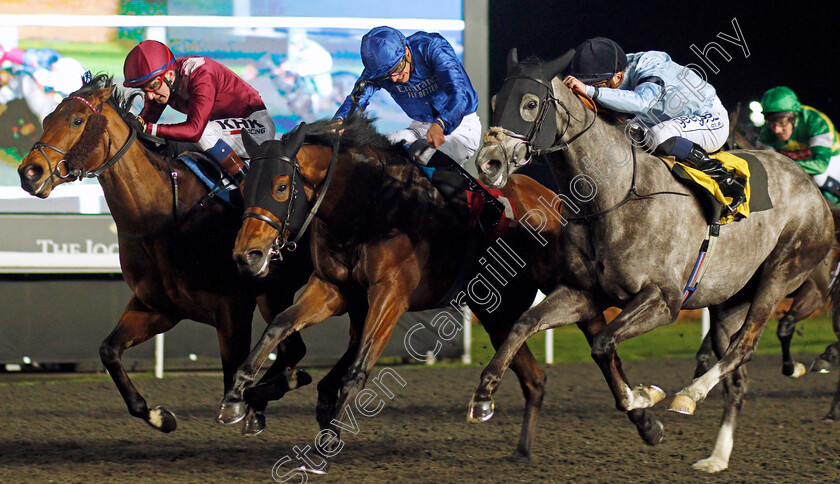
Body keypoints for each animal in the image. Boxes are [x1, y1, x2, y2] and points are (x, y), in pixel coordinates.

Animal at [15, 74, 312, 434]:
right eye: (46, 119)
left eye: (77, 120)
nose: (29, 173)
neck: (162, 218)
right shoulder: (158, 307)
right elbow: (108, 350)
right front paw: (159, 415)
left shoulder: (232, 310)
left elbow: (235, 379)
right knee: (292, 348)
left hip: (273, 291)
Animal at [217, 117, 572, 462]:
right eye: (245, 187)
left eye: (280, 186)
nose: (246, 255)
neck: (370, 204)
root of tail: (551, 199)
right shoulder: (333, 288)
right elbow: (279, 325)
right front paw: (237, 395)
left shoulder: (389, 294)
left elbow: (358, 368)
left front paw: (329, 439)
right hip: (496, 314)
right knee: (534, 378)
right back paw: (519, 446)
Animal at [466, 49, 832, 472]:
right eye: (495, 101)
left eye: (529, 103)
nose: (488, 162)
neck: (613, 196)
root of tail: (811, 187)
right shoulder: (580, 293)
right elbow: (525, 323)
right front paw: (484, 394)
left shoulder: (663, 300)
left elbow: (603, 343)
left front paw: (643, 396)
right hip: (730, 302)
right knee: (737, 376)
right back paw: (716, 457)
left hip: (781, 273)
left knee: (747, 345)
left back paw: (691, 393)